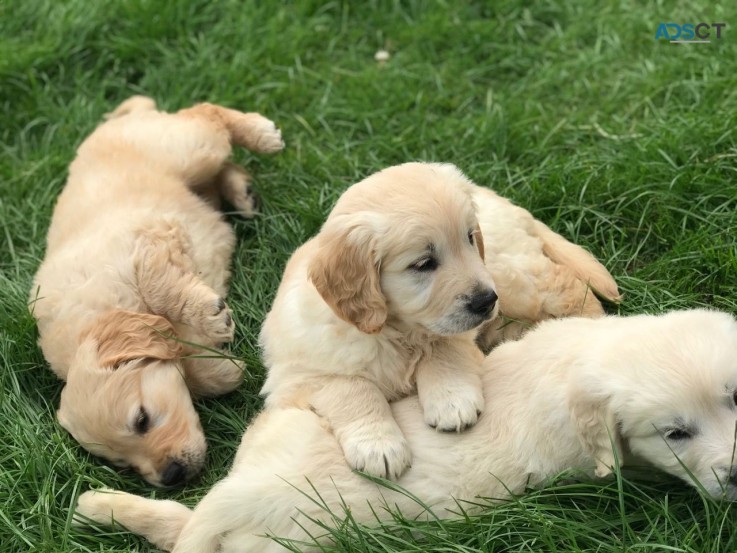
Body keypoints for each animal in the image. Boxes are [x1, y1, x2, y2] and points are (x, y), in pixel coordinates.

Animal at [29, 97, 282, 486]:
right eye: (122, 464)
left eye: (141, 420)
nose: (171, 477)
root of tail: (129, 112)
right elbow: (191, 364)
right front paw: (220, 368)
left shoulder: (147, 238)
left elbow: (159, 284)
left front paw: (209, 318)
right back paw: (243, 192)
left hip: (185, 148)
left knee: (205, 113)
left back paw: (261, 134)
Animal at [73, 308, 736, 548]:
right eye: (674, 434)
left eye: (734, 398)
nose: (735, 475)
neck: (582, 362)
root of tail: (247, 497)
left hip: (272, 437)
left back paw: (99, 505)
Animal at [258, 161, 500, 478]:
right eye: (423, 264)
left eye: (470, 237)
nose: (487, 301)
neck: (396, 331)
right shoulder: (301, 374)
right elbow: (352, 387)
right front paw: (378, 446)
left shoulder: (454, 331)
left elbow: (442, 348)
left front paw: (452, 399)